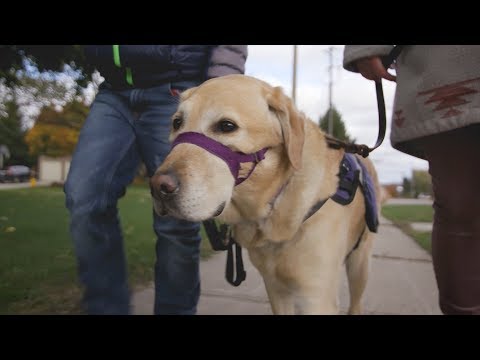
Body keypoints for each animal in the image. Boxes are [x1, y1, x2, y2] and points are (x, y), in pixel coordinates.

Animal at [150, 74, 382, 314]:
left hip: (359, 264)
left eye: (227, 126)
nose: (158, 187)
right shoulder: (275, 290)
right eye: (177, 123)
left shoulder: (317, 298)